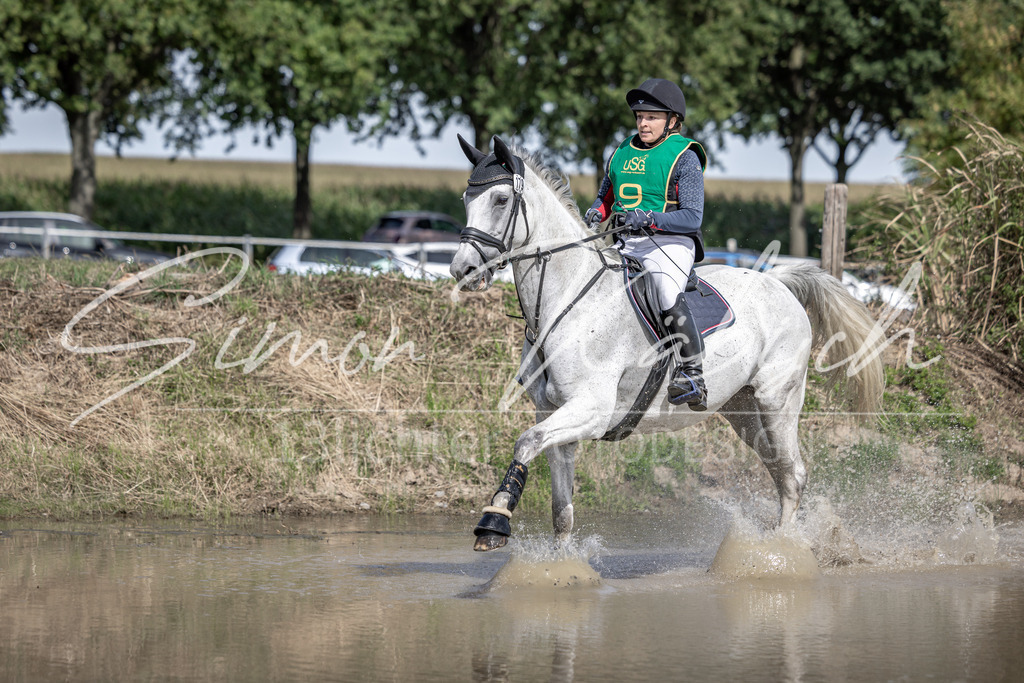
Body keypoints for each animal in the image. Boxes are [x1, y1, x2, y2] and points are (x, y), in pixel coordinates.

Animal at [450, 135, 885, 552]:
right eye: (467, 200)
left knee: (792, 476)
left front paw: (494, 522)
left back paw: (782, 552)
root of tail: (780, 281)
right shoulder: (553, 412)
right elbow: (561, 512)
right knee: (782, 473)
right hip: (744, 411)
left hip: (777, 400)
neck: (568, 298)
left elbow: (525, 442)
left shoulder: (591, 408)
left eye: (501, 199)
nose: (462, 270)